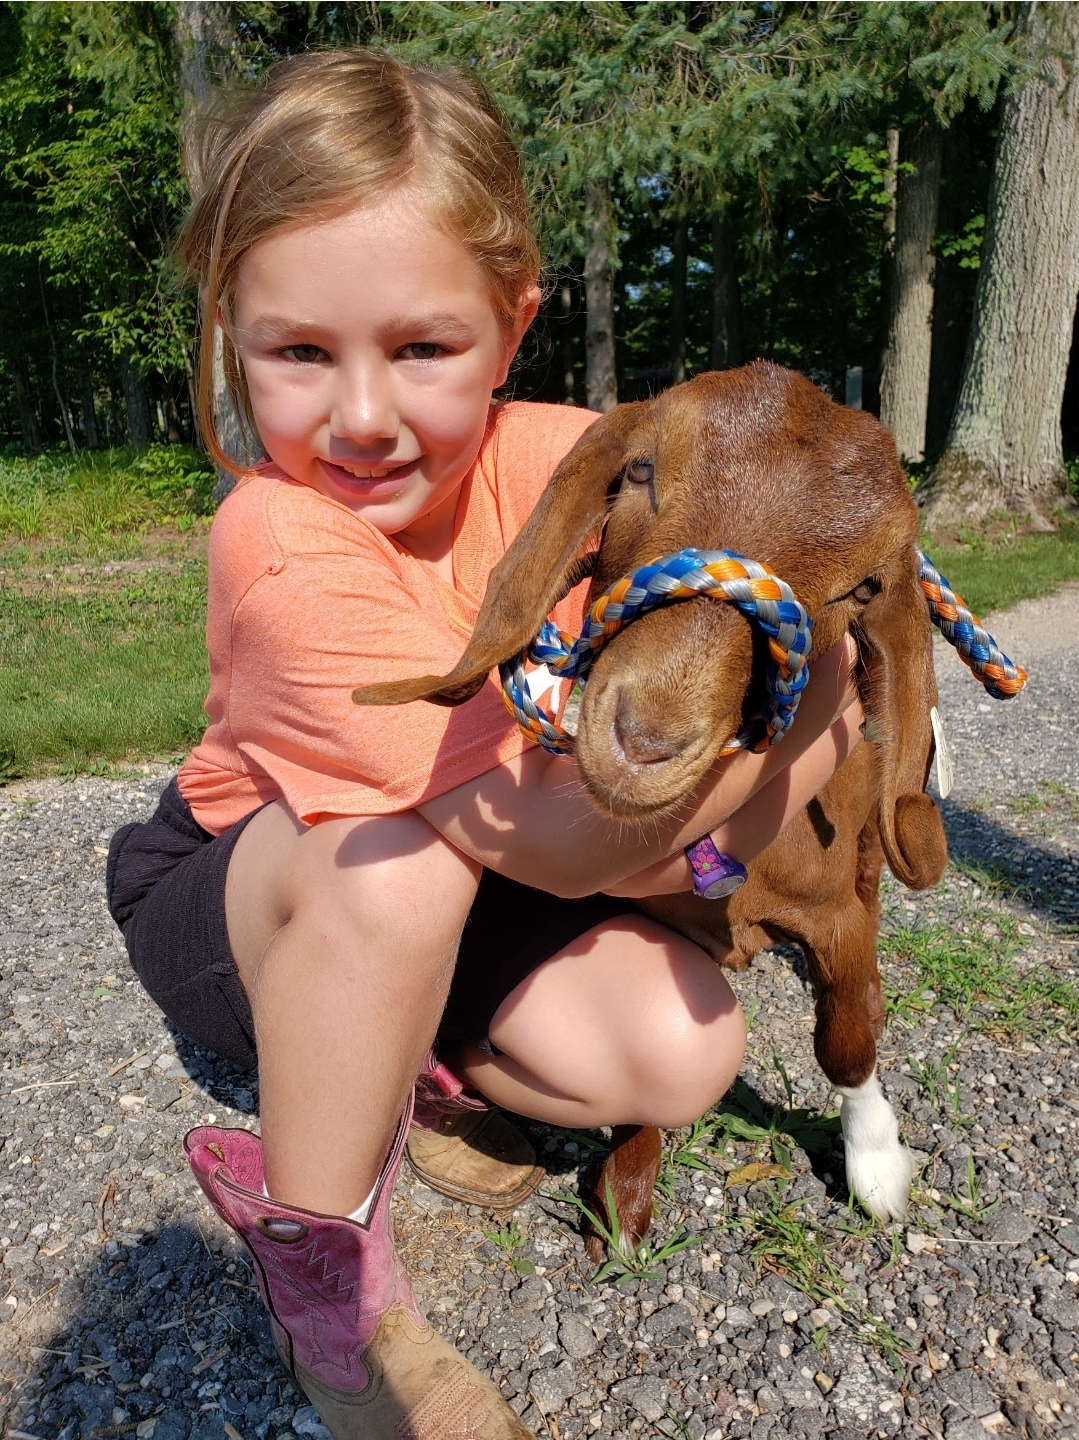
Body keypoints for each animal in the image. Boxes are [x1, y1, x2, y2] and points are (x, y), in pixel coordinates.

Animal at [355, 361, 951, 1240]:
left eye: (865, 585)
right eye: (639, 470)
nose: (640, 743)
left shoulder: (834, 917)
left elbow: (847, 1037)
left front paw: (875, 1166)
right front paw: (625, 1191)